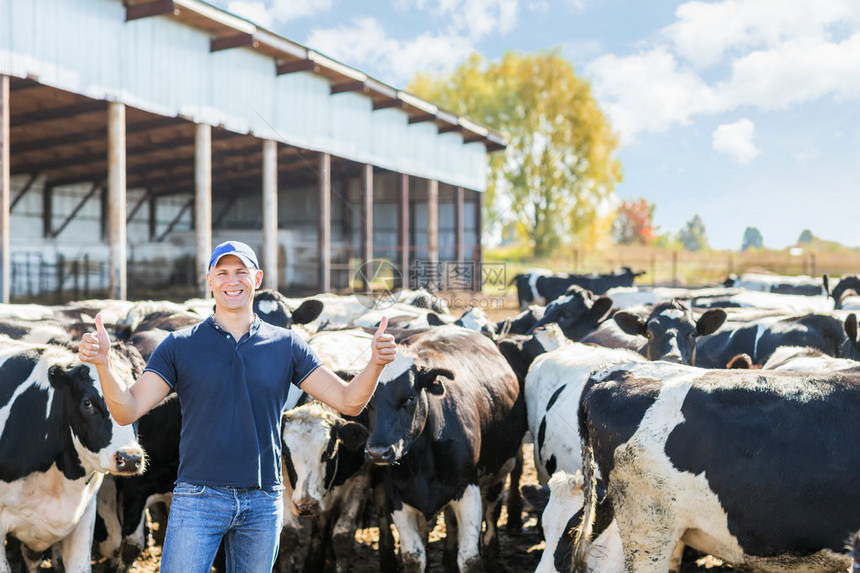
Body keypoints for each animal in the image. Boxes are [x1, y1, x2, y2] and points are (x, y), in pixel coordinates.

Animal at [362, 324, 524, 568]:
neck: (422, 462)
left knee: (492, 513)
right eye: (368, 402)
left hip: (501, 470)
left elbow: (469, 558)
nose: (378, 452)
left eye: (410, 398)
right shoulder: (397, 497)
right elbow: (414, 556)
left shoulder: (468, 488)